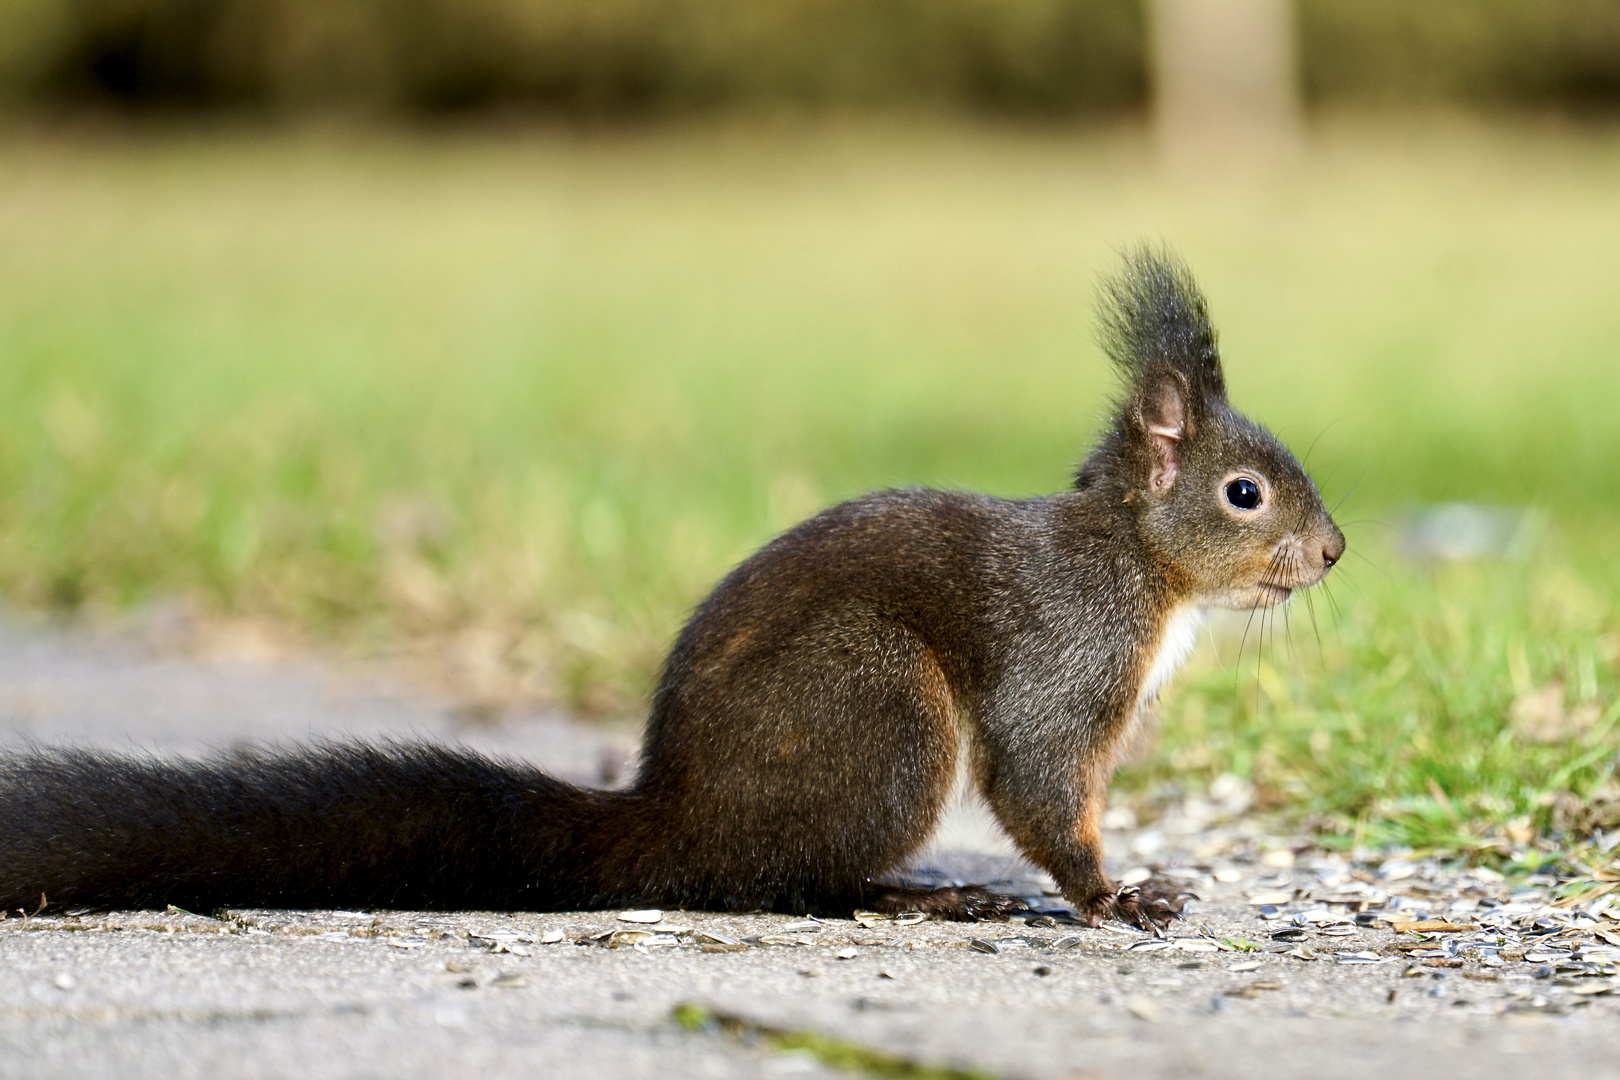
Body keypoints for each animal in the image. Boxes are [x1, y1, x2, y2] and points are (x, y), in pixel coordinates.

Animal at [0, 247, 1341, 932]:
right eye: (1244, 494)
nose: (1332, 552)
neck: (1138, 565)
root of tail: (674, 818)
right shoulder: (1067, 651)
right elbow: (1041, 779)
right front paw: (1116, 895)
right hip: (878, 709)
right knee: (797, 887)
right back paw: (931, 895)